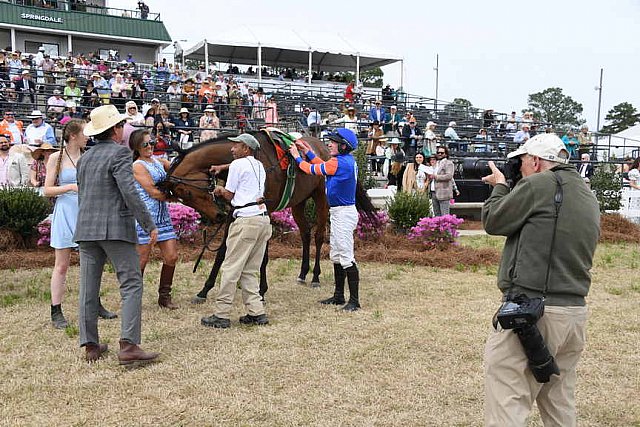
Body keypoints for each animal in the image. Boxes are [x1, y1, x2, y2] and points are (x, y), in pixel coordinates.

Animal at [159, 131, 330, 304]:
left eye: (188, 193)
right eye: (183, 200)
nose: (217, 216)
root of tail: (322, 146)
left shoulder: (264, 210)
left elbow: (263, 256)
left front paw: (261, 290)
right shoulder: (235, 209)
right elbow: (222, 251)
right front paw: (204, 290)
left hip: (321, 198)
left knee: (319, 236)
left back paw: (315, 277)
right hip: (298, 202)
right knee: (305, 233)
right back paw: (302, 273)